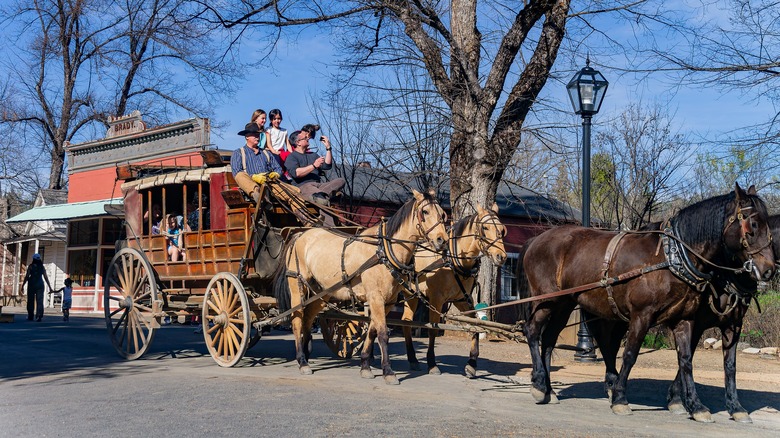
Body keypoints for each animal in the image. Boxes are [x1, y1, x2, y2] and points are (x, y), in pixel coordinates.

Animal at [278, 188, 448, 384]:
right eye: (425, 212)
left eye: (442, 214)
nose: (442, 240)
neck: (384, 251)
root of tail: (300, 235)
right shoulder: (376, 297)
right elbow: (382, 333)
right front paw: (388, 371)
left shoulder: (387, 301)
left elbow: (372, 332)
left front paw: (365, 365)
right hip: (298, 286)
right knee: (297, 321)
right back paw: (302, 361)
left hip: (322, 292)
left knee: (307, 318)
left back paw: (306, 356)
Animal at [400, 202, 508, 376]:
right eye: (485, 227)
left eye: (502, 229)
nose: (501, 256)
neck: (454, 260)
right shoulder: (436, 300)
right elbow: (433, 329)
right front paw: (432, 363)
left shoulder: (462, 299)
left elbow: (474, 324)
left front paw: (472, 363)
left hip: (412, 295)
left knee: (406, 322)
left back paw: (413, 359)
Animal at [516, 182, 772, 420]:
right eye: (753, 225)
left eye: (769, 228)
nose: (768, 270)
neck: (672, 257)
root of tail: (537, 239)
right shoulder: (642, 315)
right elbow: (630, 354)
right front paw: (620, 398)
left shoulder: (686, 319)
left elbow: (686, 360)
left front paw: (696, 405)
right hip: (547, 301)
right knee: (533, 331)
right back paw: (540, 384)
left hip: (564, 304)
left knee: (550, 339)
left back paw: (548, 389)